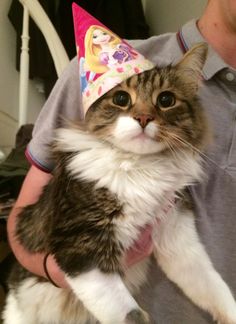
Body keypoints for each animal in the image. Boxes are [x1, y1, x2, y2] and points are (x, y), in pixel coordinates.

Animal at [1, 43, 236, 324]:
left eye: (166, 100)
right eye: (121, 99)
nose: (143, 118)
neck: (140, 167)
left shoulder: (178, 241)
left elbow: (216, 290)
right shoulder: (83, 248)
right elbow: (130, 315)